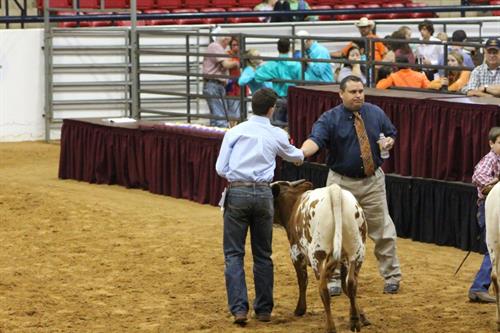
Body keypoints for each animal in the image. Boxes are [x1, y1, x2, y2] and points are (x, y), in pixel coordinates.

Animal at [272, 180, 370, 330]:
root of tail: (335, 192)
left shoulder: (295, 253)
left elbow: (302, 281)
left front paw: (300, 309)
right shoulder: (343, 260)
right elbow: (345, 286)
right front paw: (362, 317)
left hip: (317, 255)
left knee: (323, 289)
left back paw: (331, 327)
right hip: (357, 252)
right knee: (352, 283)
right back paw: (354, 320)